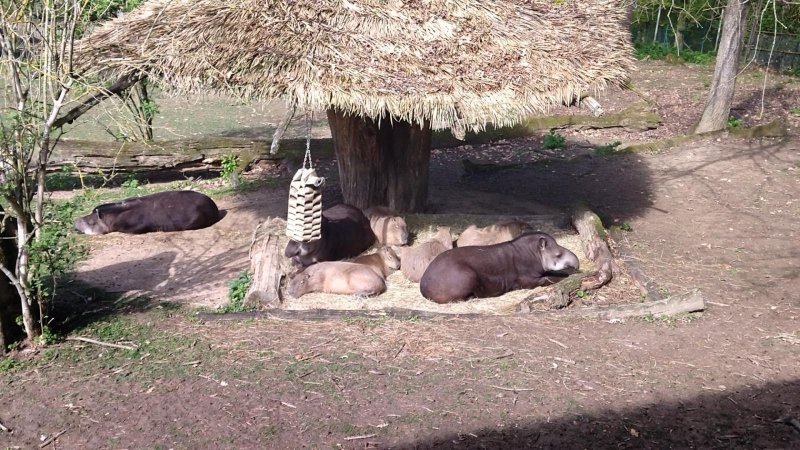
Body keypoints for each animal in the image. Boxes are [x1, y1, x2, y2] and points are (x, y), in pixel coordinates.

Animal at [420, 231, 580, 303]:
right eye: (559, 254)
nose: (577, 265)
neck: (533, 254)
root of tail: (424, 288)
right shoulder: (527, 278)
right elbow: (549, 278)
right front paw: (568, 275)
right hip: (463, 275)